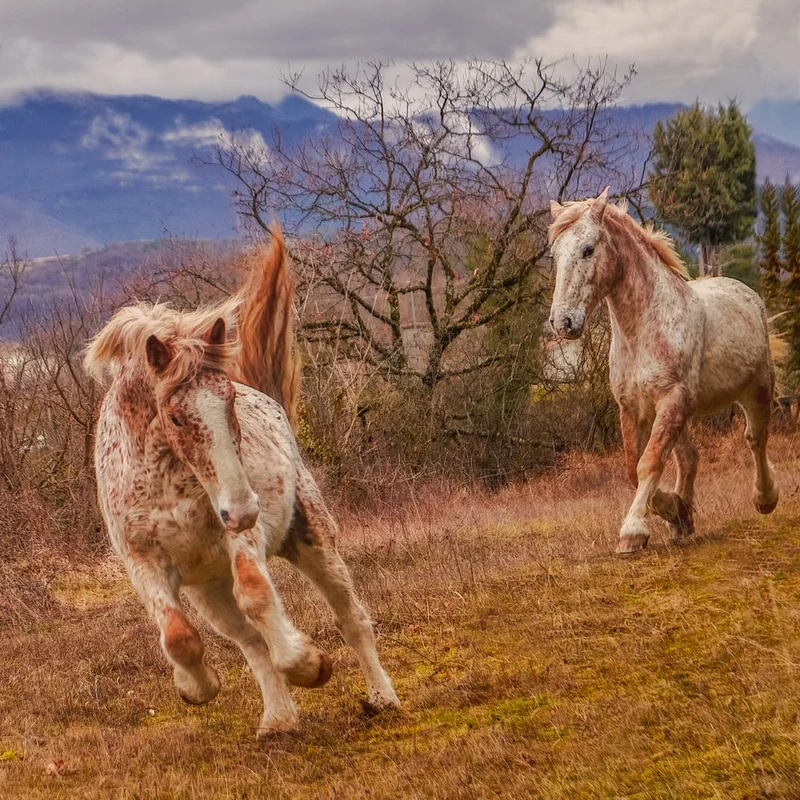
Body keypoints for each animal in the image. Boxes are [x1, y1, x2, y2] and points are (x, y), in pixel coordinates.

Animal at [84, 230, 400, 738]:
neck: (166, 484)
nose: (242, 508)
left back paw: (382, 697)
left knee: (351, 618)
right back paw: (278, 720)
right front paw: (196, 687)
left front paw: (310, 663)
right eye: (175, 417)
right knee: (250, 641)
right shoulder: (144, 562)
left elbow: (257, 595)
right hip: (209, 590)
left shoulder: (241, 540)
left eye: (229, 398)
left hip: (314, 542)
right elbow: (178, 636)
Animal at [548, 188, 780, 555]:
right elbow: (634, 467)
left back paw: (765, 498)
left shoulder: (672, 400)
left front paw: (633, 531)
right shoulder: (633, 408)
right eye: (555, 254)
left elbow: (650, 462)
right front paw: (675, 512)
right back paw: (682, 520)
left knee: (755, 440)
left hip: (755, 389)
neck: (645, 329)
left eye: (587, 249)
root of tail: (746, 294)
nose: (563, 322)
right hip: (680, 412)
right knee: (689, 457)